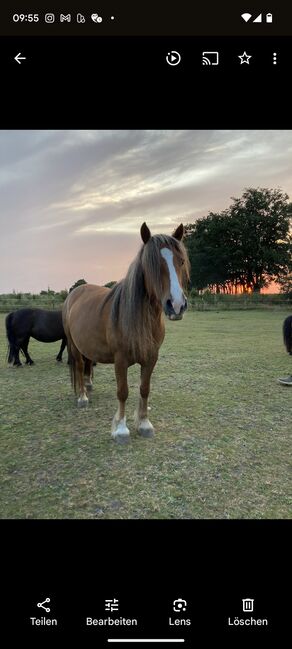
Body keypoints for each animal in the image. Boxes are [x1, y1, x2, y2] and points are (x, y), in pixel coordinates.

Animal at [61, 223, 189, 440]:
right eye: (151, 264)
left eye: (180, 261)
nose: (177, 305)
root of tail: (75, 292)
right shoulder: (120, 359)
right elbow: (123, 391)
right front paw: (121, 429)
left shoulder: (151, 357)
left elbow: (145, 389)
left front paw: (144, 424)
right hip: (73, 345)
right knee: (78, 366)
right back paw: (82, 397)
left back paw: (88, 384)